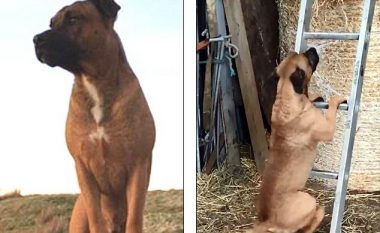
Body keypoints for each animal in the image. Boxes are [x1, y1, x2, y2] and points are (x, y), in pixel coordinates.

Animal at [32, 0, 154, 232]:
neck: (94, 83)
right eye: (51, 23)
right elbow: (95, 217)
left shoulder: (138, 165)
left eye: (73, 19)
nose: (36, 39)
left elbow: (134, 219)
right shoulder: (83, 167)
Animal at [249, 47, 344, 233]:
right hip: (308, 200)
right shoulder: (327, 129)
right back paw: (320, 213)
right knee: (311, 220)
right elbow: (331, 110)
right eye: (307, 58)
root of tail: (268, 221)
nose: (312, 49)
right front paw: (335, 100)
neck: (287, 94)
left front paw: (317, 97)